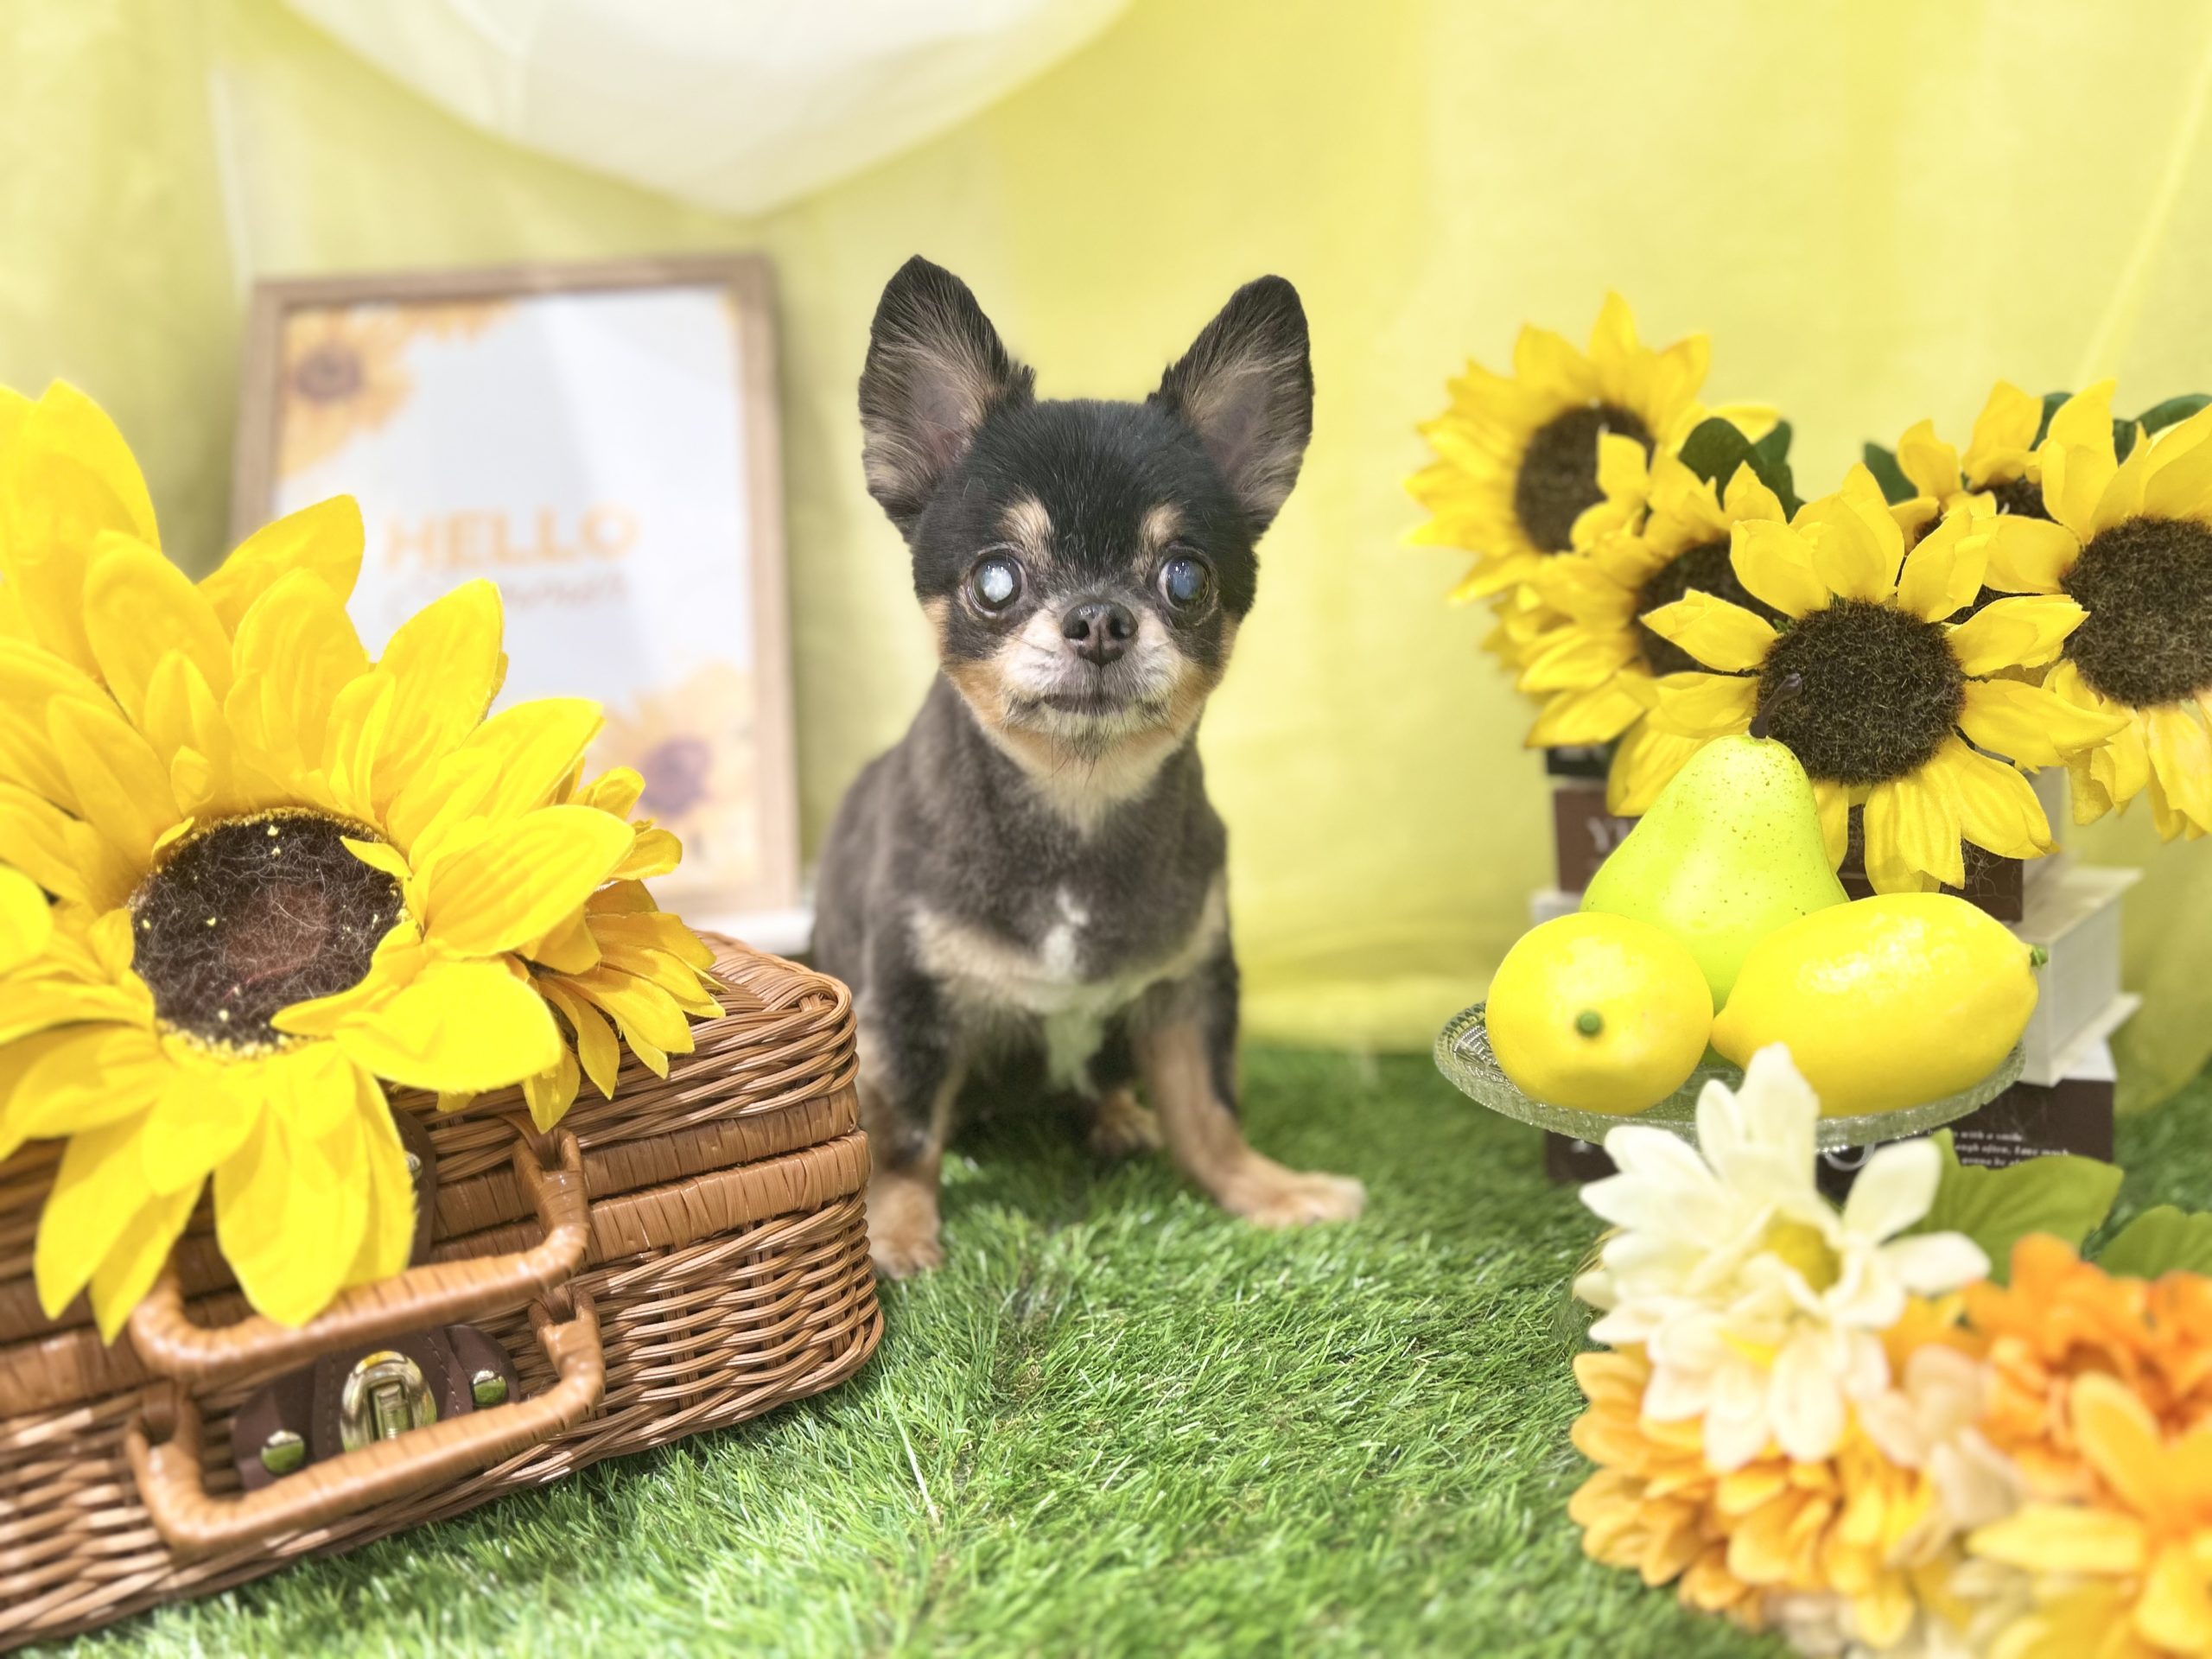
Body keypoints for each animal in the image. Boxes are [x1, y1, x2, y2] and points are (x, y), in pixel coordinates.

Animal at [815, 257, 1365, 1276]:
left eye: (1185, 578)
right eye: (995, 579)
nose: (1102, 619)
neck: (1077, 804)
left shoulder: (1190, 990)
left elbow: (1209, 1109)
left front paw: (1265, 1187)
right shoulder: (908, 1002)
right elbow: (906, 1133)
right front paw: (894, 1233)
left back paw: (1116, 1117)